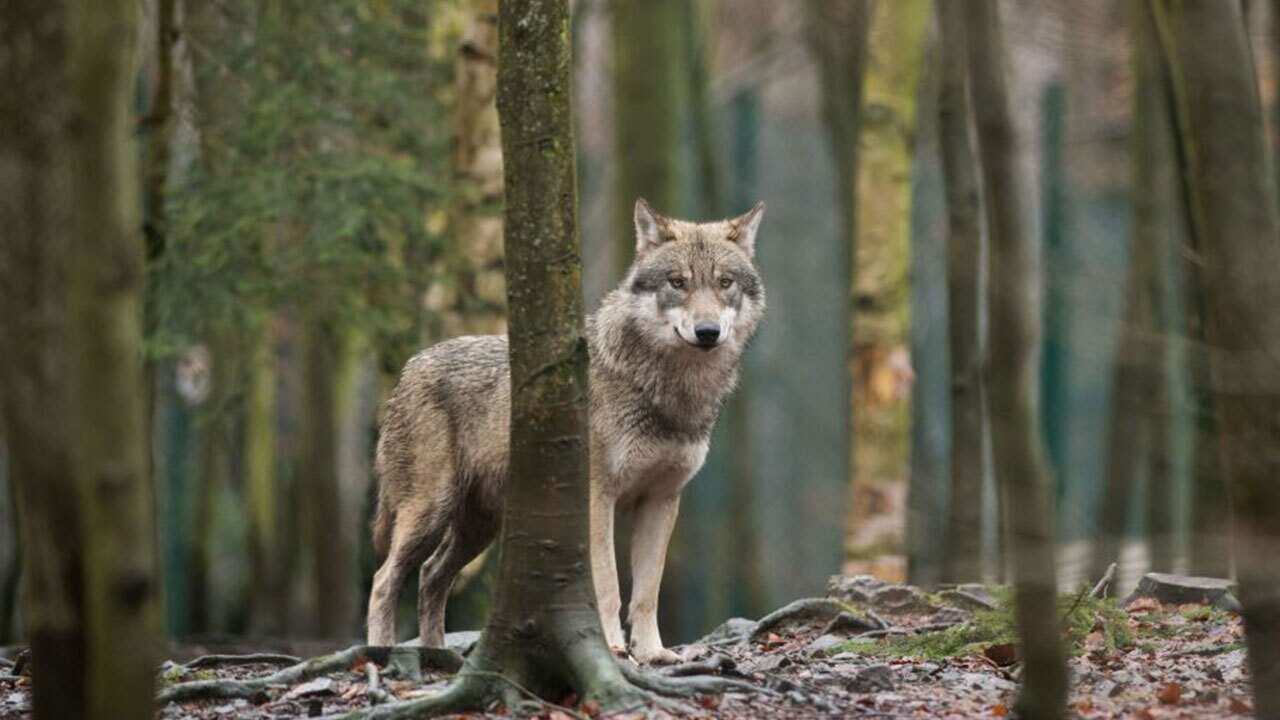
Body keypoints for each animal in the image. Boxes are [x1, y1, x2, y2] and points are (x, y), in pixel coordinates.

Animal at [368, 196, 768, 661]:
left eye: (724, 283)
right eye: (677, 282)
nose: (707, 332)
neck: (668, 391)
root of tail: (409, 367)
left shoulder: (662, 500)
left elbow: (647, 592)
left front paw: (652, 653)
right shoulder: (598, 498)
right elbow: (609, 586)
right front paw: (612, 649)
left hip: (478, 528)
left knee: (432, 575)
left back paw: (438, 655)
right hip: (430, 512)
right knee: (384, 580)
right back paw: (381, 654)